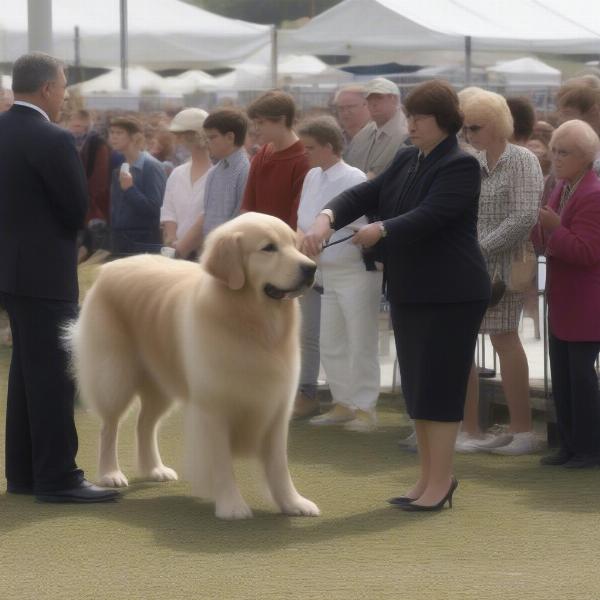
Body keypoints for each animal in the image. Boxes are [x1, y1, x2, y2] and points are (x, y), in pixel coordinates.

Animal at [68, 213, 322, 516]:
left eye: (294, 244)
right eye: (269, 248)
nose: (311, 268)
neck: (251, 322)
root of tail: (109, 268)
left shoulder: (275, 407)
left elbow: (279, 464)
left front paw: (293, 503)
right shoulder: (215, 409)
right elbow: (222, 463)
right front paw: (232, 506)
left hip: (161, 384)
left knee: (145, 424)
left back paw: (155, 469)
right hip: (115, 376)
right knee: (110, 426)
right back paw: (111, 474)